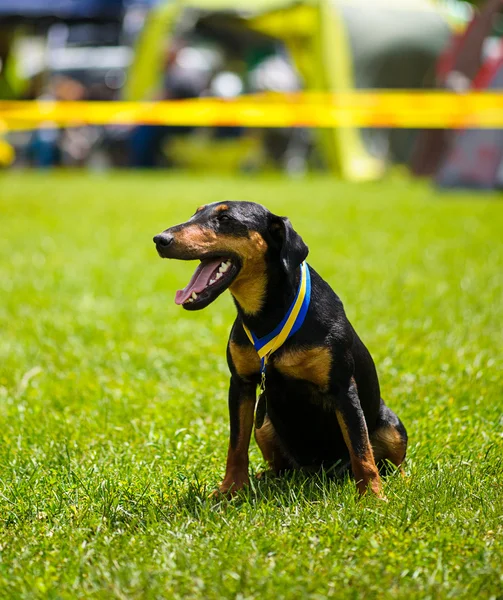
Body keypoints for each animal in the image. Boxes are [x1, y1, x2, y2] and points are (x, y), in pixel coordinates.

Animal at [152, 202, 408, 496]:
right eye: (195, 213)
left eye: (225, 218)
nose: (160, 239)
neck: (267, 314)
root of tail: (322, 470)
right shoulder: (241, 384)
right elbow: (236, 444)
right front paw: (231, 489)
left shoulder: (343, 388)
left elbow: (361, 449)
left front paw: (373, 496)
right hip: (264, 425)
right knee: (280, 465)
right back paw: (264, 477)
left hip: (391, 425)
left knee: (390, 461)